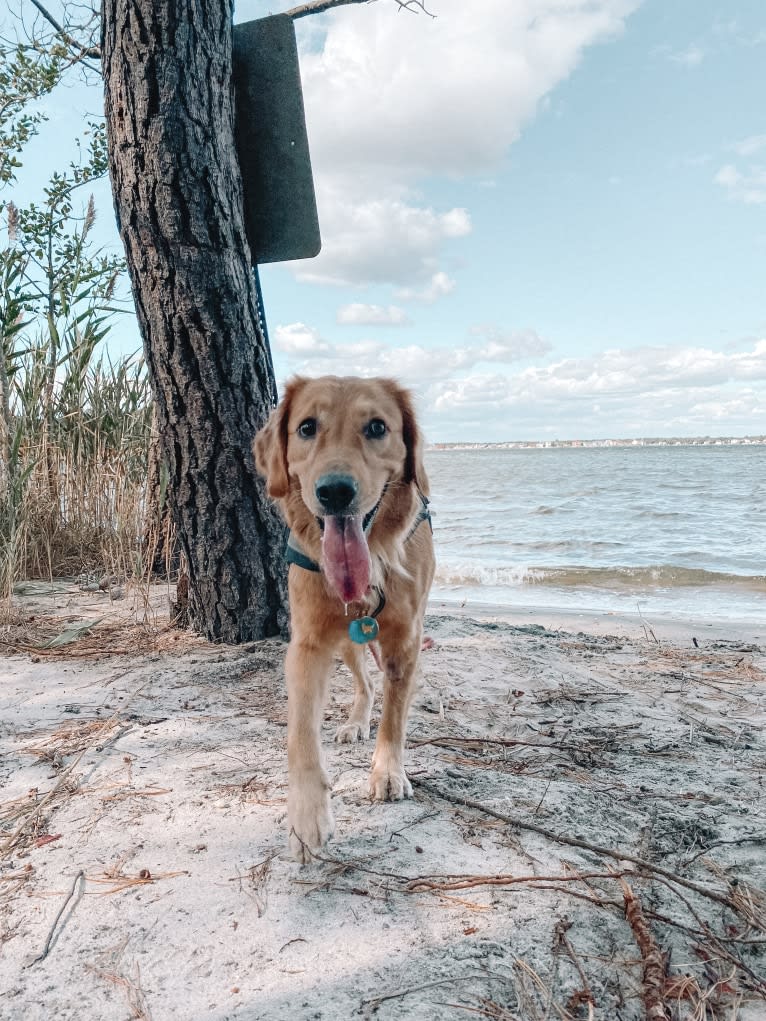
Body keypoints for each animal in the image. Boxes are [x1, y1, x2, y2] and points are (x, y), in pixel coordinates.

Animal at [255, 375, 435, 861]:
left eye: (377, 427)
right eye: (306, 427)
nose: (335, 491)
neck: (373, 562)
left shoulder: (404, 643)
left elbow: (394, 717)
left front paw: (387, 772)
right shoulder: (309, 645)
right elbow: (300, 737)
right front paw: (307, 816)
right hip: (348, 641)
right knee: (365, 685)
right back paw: (354, 723)